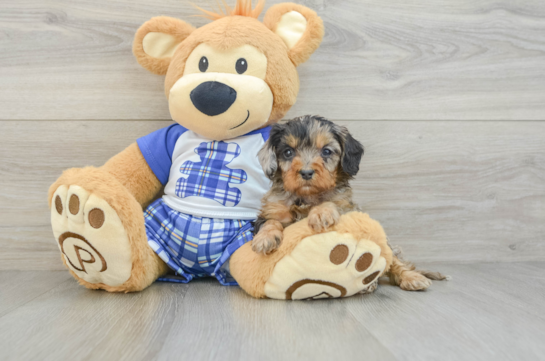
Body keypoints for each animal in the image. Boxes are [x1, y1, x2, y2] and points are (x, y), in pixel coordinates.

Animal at [252, 114, 446, 292]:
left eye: (326, 151)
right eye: (288, 152)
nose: (306, 173)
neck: (306, 197)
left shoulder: (347, 208)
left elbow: (330, 203)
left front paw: (321, 213)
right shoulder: (271, 210)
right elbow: (270, 222)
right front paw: (265, 238)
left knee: (394, 262)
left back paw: (409, 278)